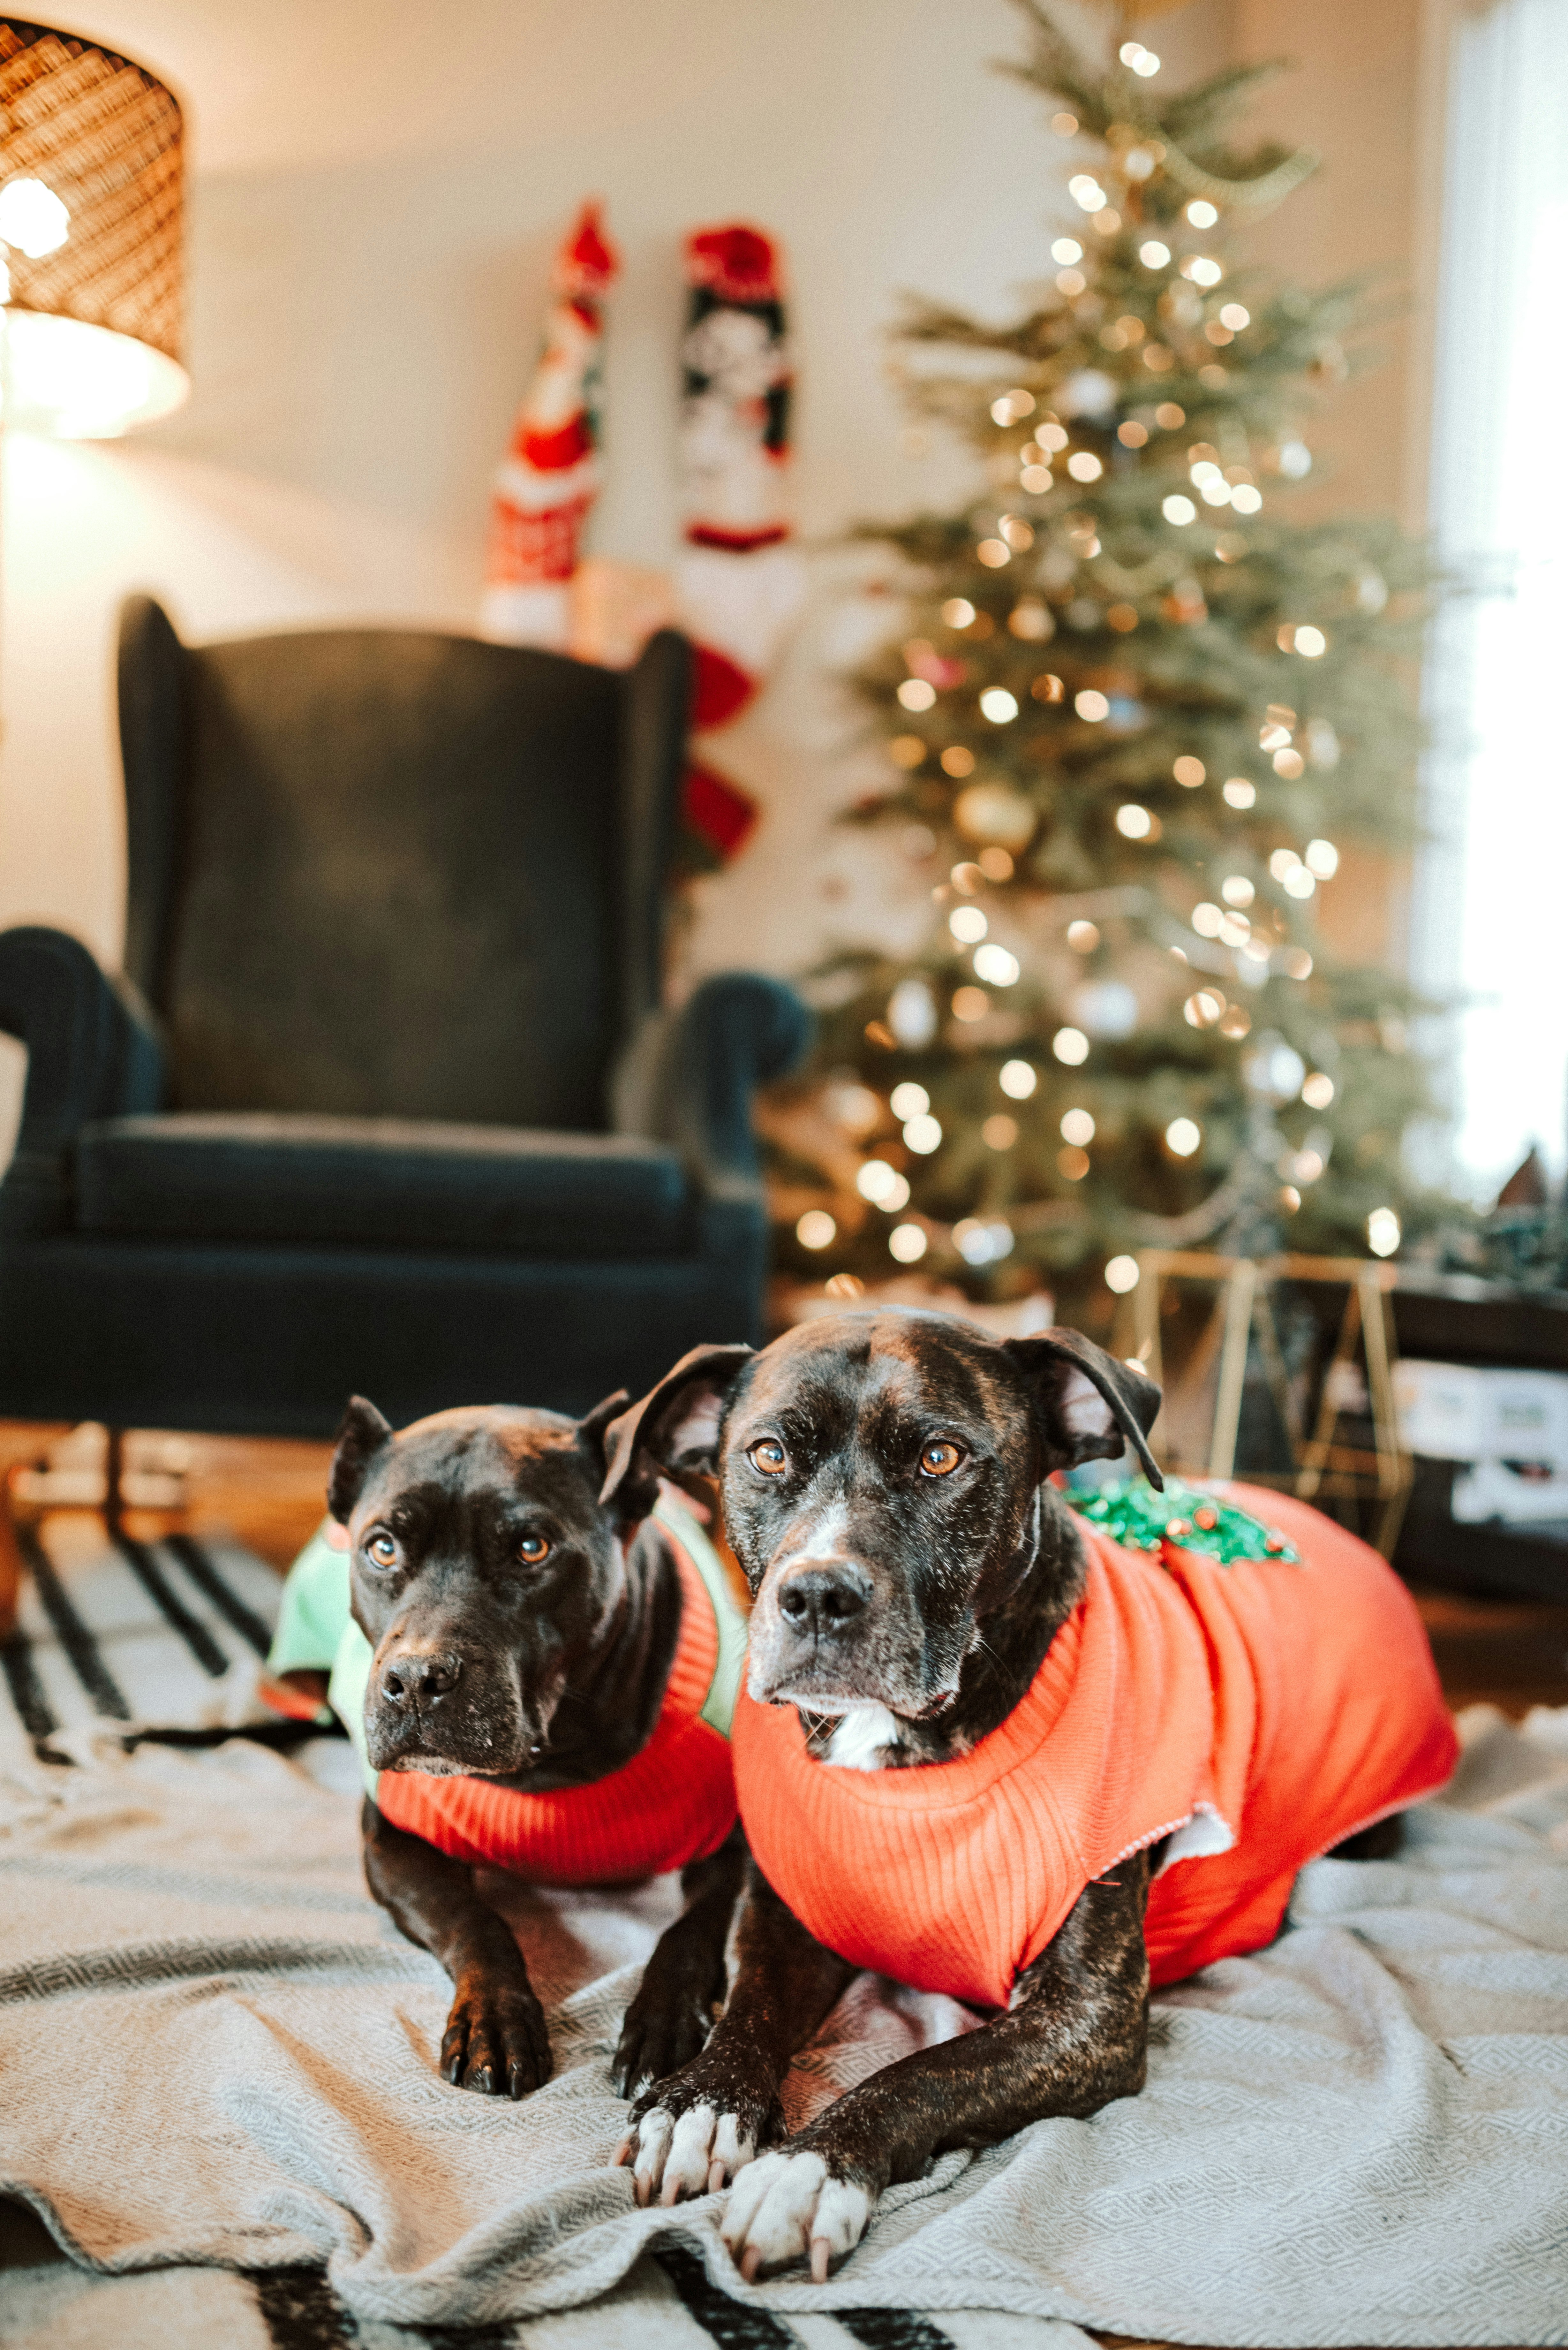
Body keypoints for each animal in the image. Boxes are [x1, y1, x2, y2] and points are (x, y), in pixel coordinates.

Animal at [322, 1400, 747, 2105]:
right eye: (382, 1548)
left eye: (531, 1548)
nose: (416, 1678)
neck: (551, 1763)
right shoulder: (391, 1839)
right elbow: (476, 1920)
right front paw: (493, 2017)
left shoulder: (738, 1845)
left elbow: (690, 1930)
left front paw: (662, 2019)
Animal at [606, 1307, 1457, 2275]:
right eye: (769, 1455)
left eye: (940, 1458)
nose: (818, 1594)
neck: (908, 1760)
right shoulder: (789, 1913)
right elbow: (748, 2006)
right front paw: (700, 2105)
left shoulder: (1084, 2021)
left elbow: (918, 2073)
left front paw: (810, 2169)